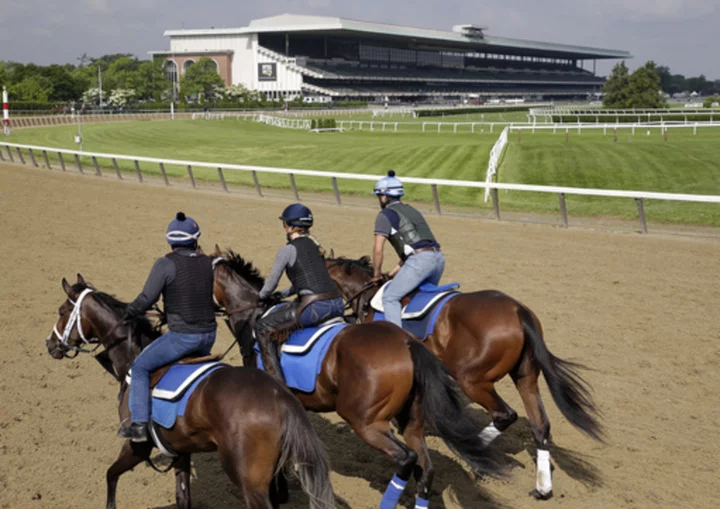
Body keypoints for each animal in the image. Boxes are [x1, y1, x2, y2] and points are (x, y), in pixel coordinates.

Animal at [45, 274, 338, 508]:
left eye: (61, 311)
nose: (49, 344)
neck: (133, 356)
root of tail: (279, 397)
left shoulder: (137, 446)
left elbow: (111, 475)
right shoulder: (180, 451)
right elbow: (182, 497)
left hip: (251, 484)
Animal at [211, 247, 504, 508]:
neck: (253, 319)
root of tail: (406, 342)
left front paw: (278, 492)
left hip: (365, 422)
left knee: (406, 459)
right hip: (411, 422)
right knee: (426, 469)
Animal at [324, 253, 600, 496]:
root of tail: (517, 310)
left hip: (472, 379)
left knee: (505, 415)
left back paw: (475, 457)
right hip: (526, 378)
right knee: (540, 425)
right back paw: (542, 487)